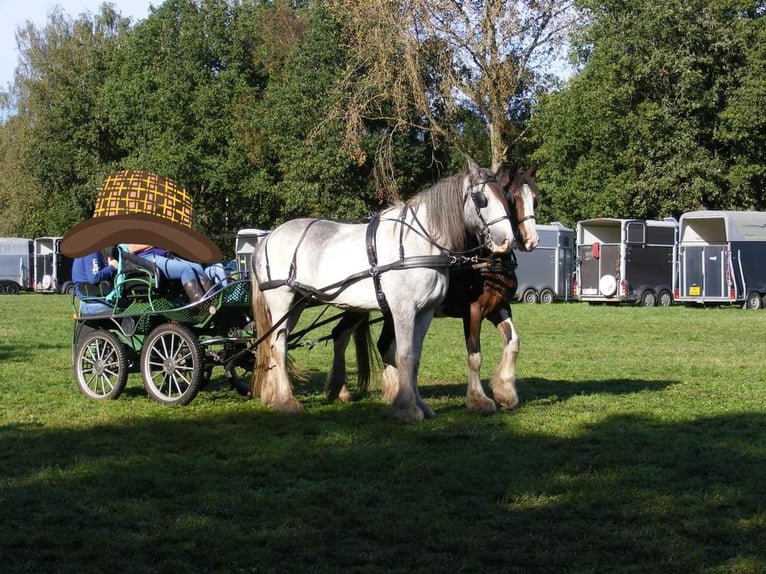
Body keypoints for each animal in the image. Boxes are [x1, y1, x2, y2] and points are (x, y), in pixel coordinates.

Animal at [328, 166, 540, 414]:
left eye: (535, 200)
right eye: (511, 199)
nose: (530, 240)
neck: (486, 262)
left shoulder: (500, 307)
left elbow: (513, 343)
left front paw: (505, 392)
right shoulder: (473, 311)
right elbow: (474, 355)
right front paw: (479, 399)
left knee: (373, 342)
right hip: (360, 306)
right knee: (342, 334)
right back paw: (346, 390)